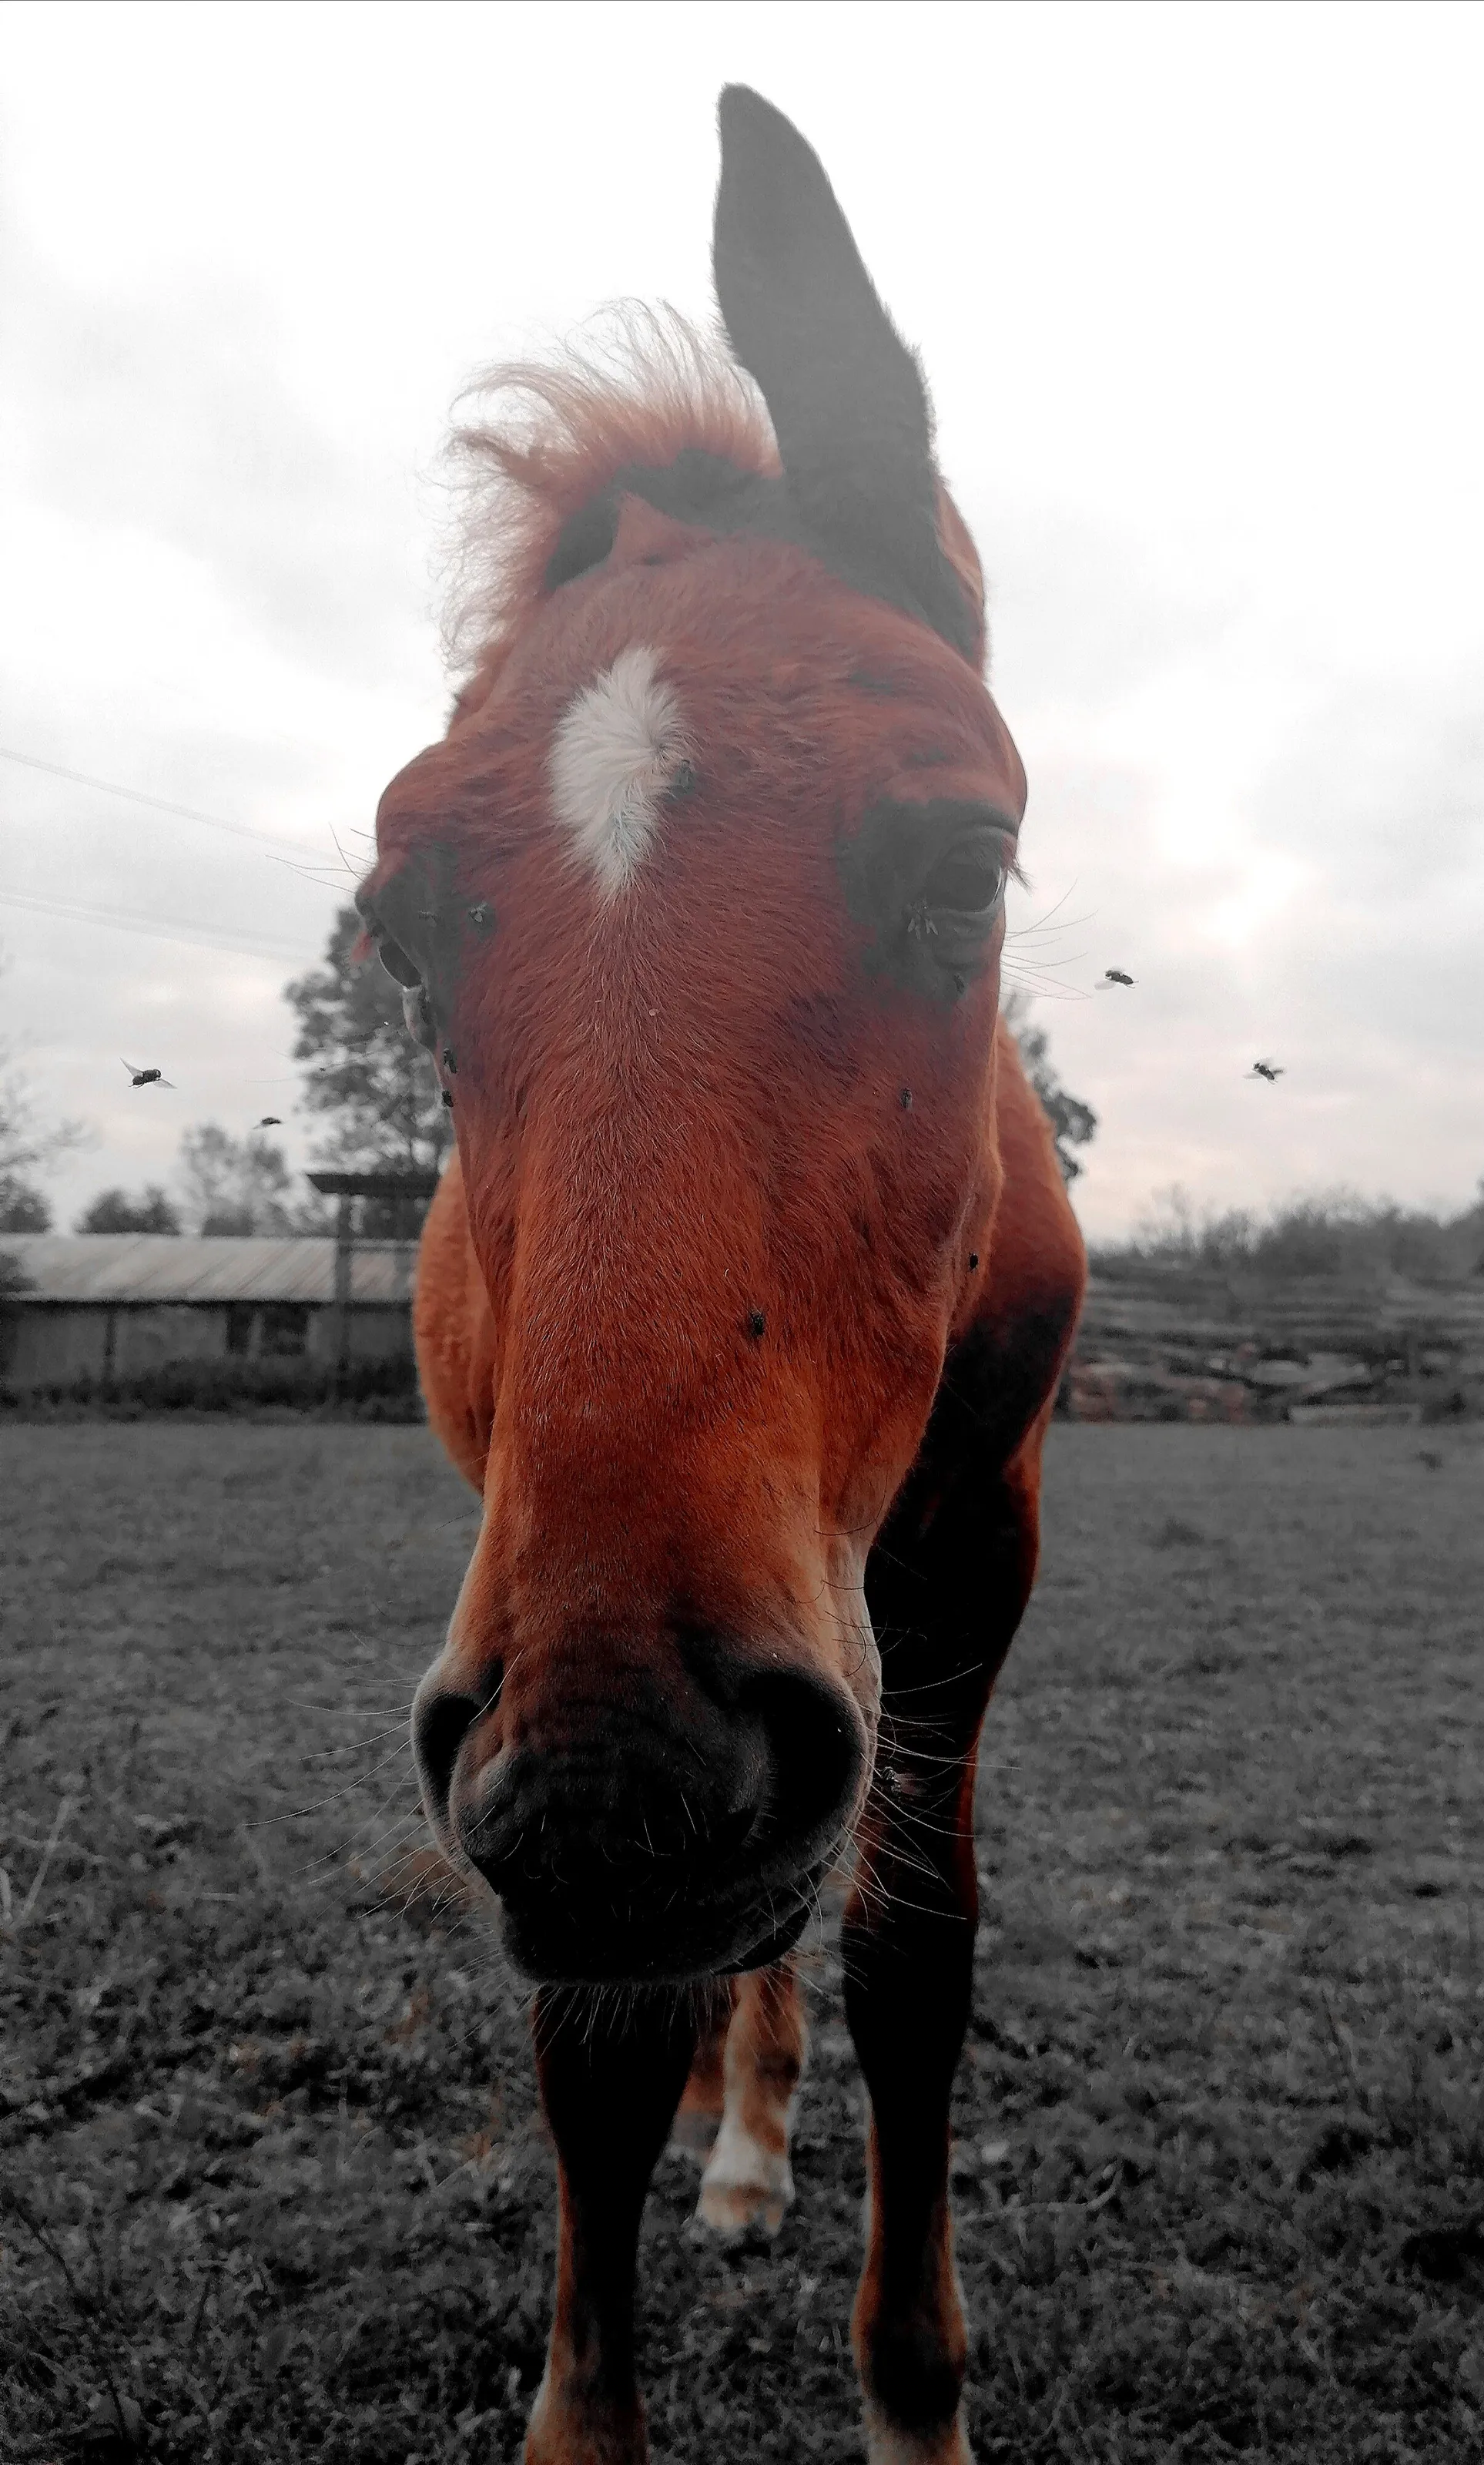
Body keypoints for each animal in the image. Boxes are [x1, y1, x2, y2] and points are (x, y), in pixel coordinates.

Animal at [359, 85, 1086, 2465]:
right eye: (403, 934)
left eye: (964, 867)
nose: (618, 1781)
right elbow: (596, 2039)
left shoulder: (965, 1553)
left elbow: (912, 1953)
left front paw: (913, 2395)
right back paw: (739, 2133)